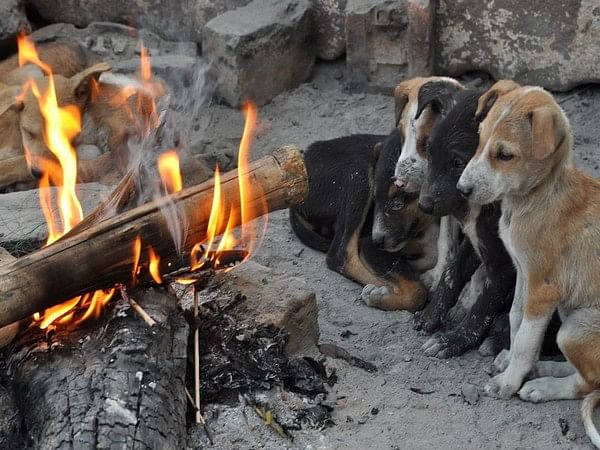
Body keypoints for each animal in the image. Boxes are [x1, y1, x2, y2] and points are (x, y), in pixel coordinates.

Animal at [290, 132, 434, 312]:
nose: (379, 240)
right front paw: (384, 295)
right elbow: (417, 292)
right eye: (377, 199)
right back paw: (381, 287)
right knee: (341, 255)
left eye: (398, 203)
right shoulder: (371, 246)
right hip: (358, 176)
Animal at [410, 82, 516, 356]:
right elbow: (451, 272)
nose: (424, 205)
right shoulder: (476, 241)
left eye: (458, 162)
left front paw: (453, 341)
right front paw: (430, 315)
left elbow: (482, 308)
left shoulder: (505, 268)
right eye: (429, 151)